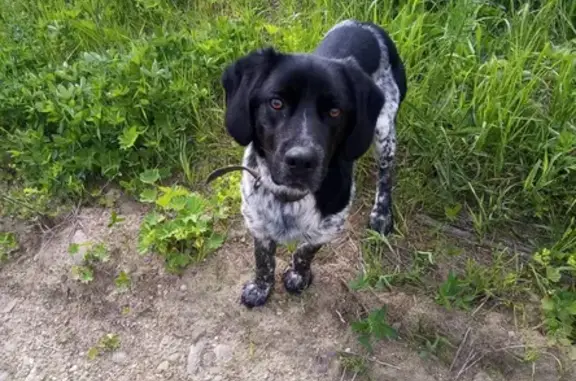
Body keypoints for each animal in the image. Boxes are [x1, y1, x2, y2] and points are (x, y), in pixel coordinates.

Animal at [219, 19, 404, 308]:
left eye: (335, 111)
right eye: (276, 103)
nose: (301, 160)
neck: (289, 197)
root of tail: (365, 24)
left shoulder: (329, 224)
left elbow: (305, 251)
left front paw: (298, 277)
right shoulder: (256, 220)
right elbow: (263, 260)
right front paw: (261, 288)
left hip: (384, 129)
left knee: (386, 173)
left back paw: (382, 214)